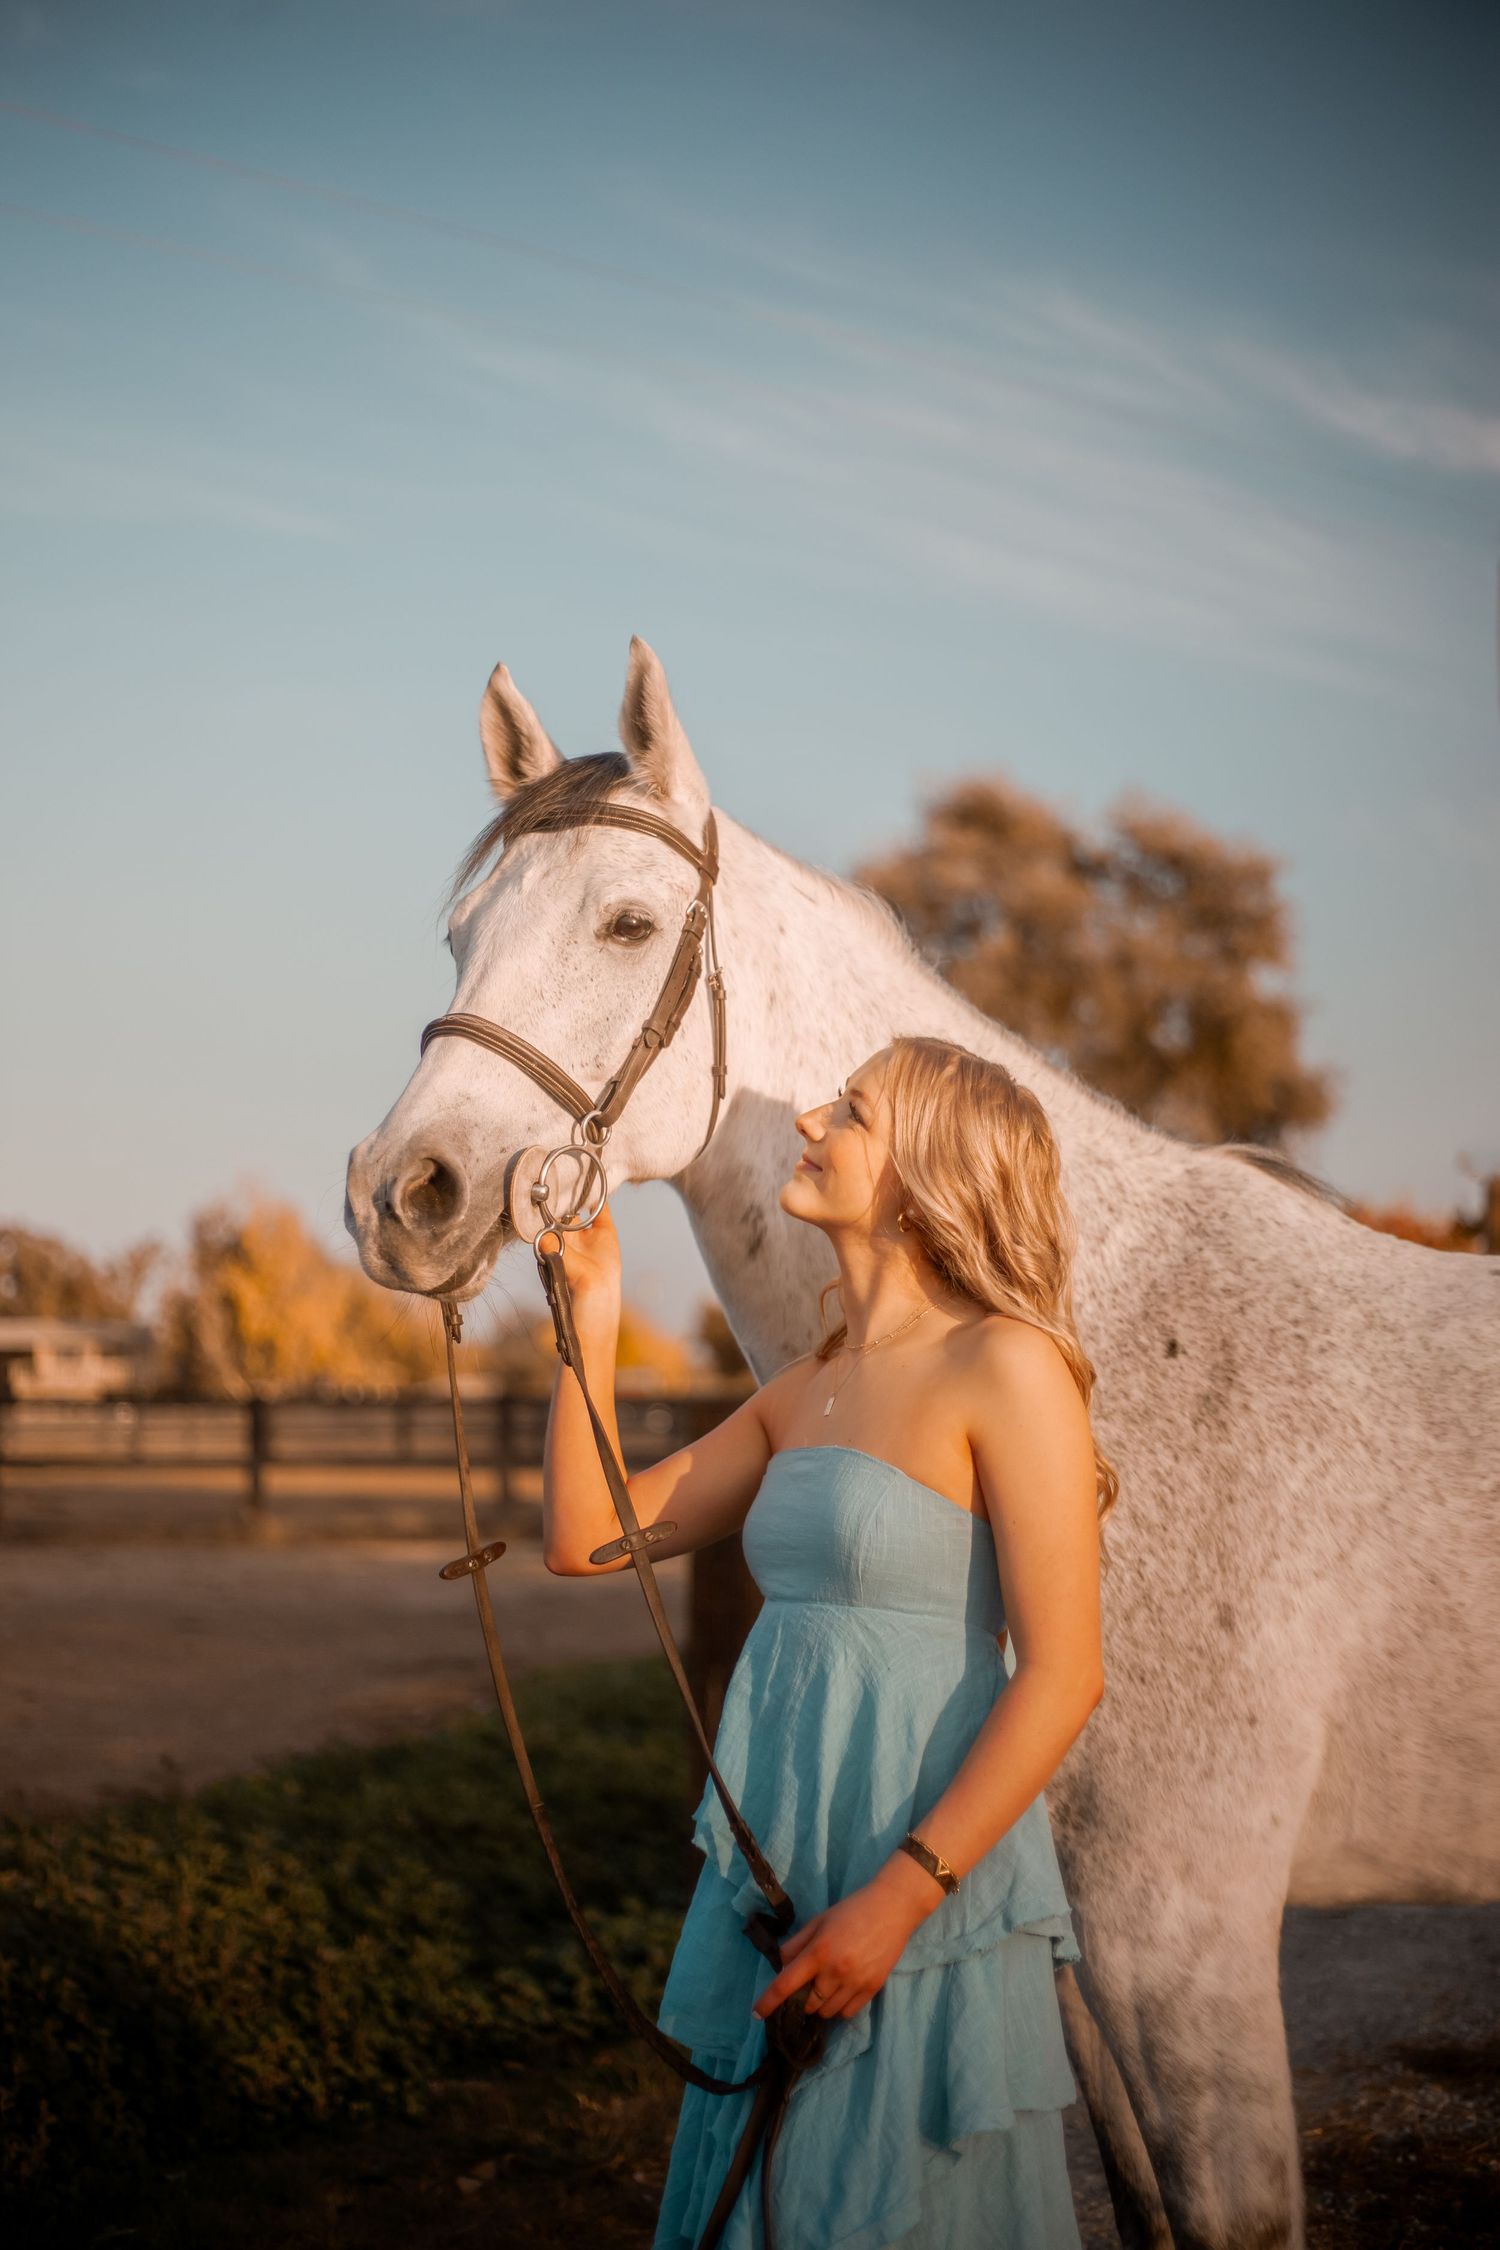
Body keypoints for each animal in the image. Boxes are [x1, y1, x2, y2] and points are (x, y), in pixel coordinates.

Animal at [344, 638, 1500, 2249]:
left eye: (627, 923)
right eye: (460, 935)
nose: (403, 1197)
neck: (1094, 1344)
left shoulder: (1186, 1942)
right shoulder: (1085, 1963)